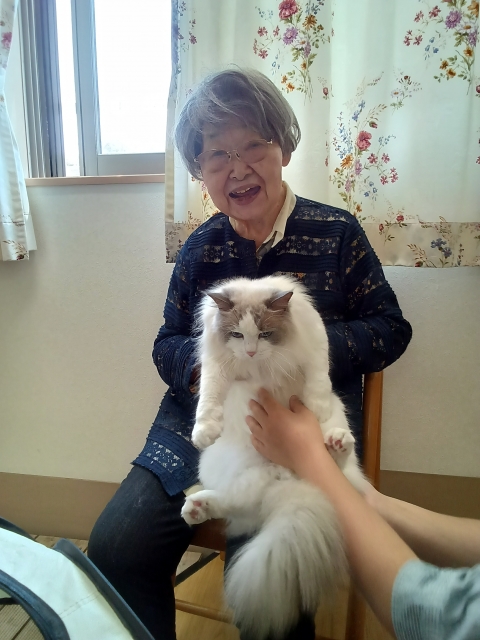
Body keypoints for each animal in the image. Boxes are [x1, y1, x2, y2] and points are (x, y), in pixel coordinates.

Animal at [181, 275, 367, 640]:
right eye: (237, 335)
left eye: (266, 334)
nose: (251, 351)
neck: (260, 365)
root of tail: (287, 478)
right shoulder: (216, 367)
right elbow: (208, 398)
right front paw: (203, 431)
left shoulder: (315, 345)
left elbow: (318, 379)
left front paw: (316, 406)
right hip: (233, 477)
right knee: (232, 502)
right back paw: (196, 507)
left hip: (334, 437)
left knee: (334, 462)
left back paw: (335, 441)